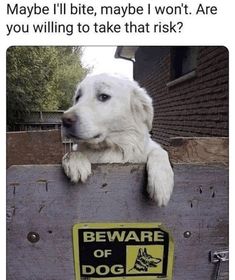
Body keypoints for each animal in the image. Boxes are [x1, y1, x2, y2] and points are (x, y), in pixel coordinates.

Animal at [61, 73, 173, 207]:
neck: (113, 148)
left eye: (103, 96)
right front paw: (76, 161)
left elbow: (159, 151)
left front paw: (162, 182)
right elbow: (71, 152)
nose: (65, 120)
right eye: (78, 97)